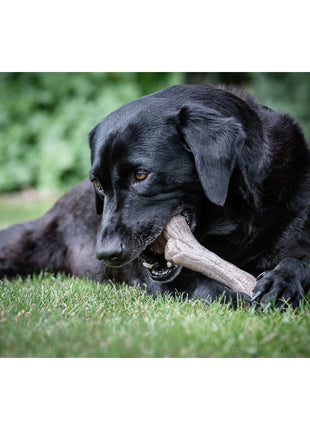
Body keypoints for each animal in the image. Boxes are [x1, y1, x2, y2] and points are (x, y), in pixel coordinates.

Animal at [0, 84, 310, 308]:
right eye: (98, 184)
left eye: (141, 175)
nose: (106, 255)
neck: (236, 223)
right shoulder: (167, 283)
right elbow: (206, 288)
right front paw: (239, 297)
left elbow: (299, 260)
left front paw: (280, 282)